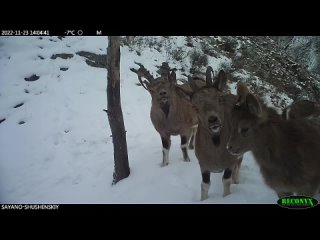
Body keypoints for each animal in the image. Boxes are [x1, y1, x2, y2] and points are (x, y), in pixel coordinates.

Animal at [179, 68, 244, 201]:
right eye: (195, 106)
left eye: (219, 98)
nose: (213, 120)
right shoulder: (203, 165)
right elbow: (205, 185)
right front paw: (203, 200)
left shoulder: (229, 163)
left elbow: (226, 181)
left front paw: (227, 196)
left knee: (239, 162)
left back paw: (236, 180)